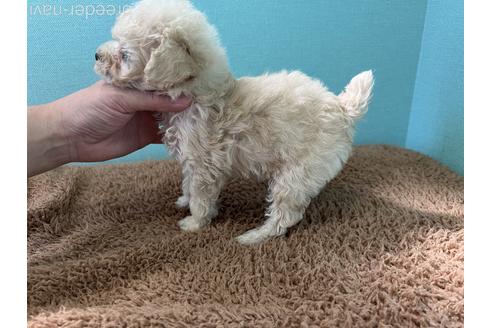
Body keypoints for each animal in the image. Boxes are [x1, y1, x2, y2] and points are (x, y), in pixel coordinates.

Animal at [95, 0, 372, 243]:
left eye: (125, 55)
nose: (96, 54)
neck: (196, 90)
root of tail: (343, 108)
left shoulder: (203, 162)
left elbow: (200, 196)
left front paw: (194, 222)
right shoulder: (191, 158)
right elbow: (188, 182)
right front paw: (184, 200)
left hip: (297, 171)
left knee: (285, 215)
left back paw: (254, 236)